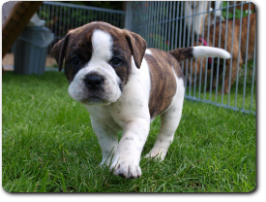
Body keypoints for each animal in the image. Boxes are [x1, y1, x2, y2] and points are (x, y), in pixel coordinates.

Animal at [52, 20, 231, 178]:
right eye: (76, 60)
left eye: (116, 61)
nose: (94, 79)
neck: (114, 101)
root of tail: (169, 55)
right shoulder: (100, 125)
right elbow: (108, 145)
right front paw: (107, 163)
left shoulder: (137, 120)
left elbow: (129, 142)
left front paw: (125, 165)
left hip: (173, 111)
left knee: (166, 135)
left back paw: (155, 156)